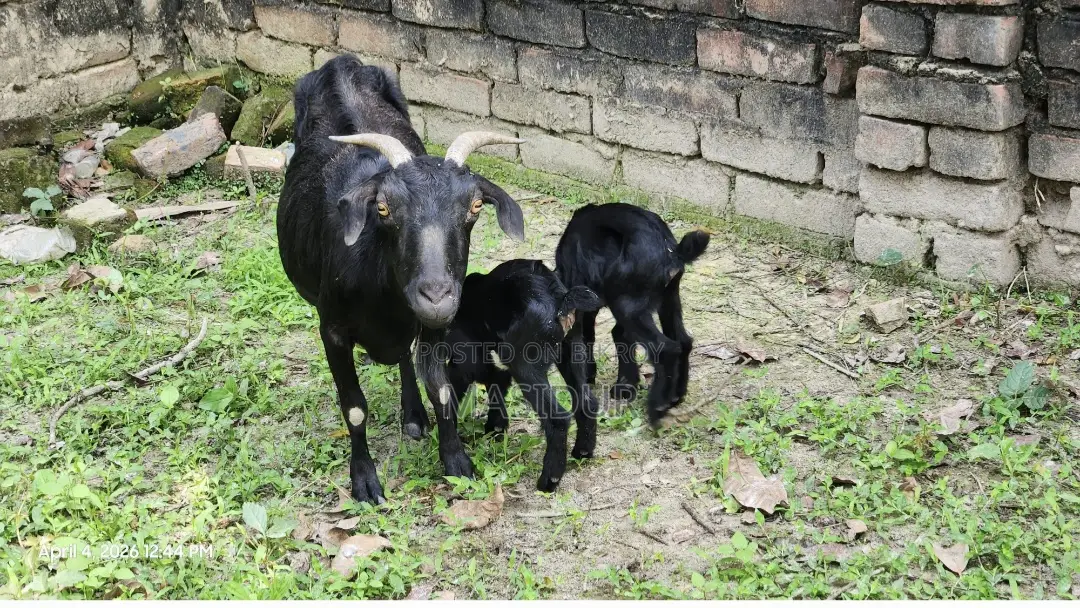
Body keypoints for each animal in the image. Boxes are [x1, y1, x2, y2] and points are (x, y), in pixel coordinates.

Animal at [276, 55, 525, 503]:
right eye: (383, 208)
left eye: (475, 206)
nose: (436, 296)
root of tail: (340, 62)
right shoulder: (332, 330)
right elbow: (354, 408)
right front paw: (364, 481)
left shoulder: (435, 328)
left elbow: (441, 391)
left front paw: (456, 461)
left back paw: (413, 415)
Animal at [441, 259, 602, 491]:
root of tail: (561, 297)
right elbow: (497, 386)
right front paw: (496, 428)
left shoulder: (467, 360)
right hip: (572, 349)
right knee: (586, 401)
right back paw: (582, 452)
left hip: (525, 365)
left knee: (558, 418)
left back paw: (549, 480)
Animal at [554, 203, 710, 427]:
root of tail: (671, 252)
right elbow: (617, 336)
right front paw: (626, 386)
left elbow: (587, 338)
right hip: (668, 298)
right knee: (683, 341)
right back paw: (676, 395)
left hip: (627, 306)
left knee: (666, 348)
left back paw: (656, 407)